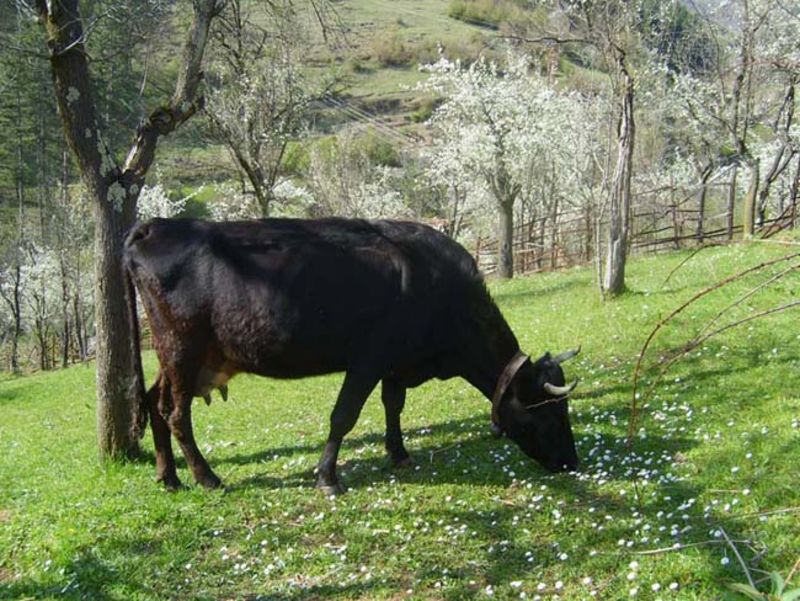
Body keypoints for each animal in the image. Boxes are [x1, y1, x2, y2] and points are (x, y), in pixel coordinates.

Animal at [123, 217, 580, 494]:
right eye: (549, 412)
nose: (571, 463)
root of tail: (155, 227)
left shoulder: (396, 362)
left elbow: (393, 404)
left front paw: (398, 453)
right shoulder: (367, 360)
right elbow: (344, 415)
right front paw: (328, 476)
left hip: (182, 356)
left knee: (153, 401)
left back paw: (168, 476)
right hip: (182, 347)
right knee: (175, 413)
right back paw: (207, 476)